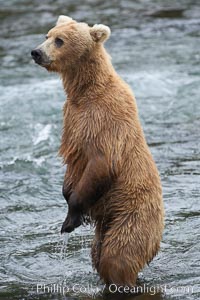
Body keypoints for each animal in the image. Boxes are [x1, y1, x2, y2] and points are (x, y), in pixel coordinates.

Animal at [31, 15, 164, 286]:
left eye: (60, 40)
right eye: (47, 34)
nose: (36, 52)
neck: (85, 90)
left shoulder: (104, 120)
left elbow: (102, 162)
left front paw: (71, 216)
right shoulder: (72, 118)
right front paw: (67, 194)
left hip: (133, 214)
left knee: (118, 256)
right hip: (106, 221)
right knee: (98, 253)